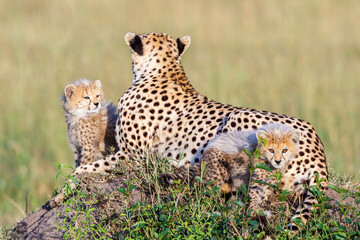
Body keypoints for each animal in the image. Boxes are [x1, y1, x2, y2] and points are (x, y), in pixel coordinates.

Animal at [50, 32, 330, 227]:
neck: (167, 70)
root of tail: (318, 147)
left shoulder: (133, 155)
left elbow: (83, 169)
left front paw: (61, 195)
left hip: (236, 117)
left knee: (235, 183)